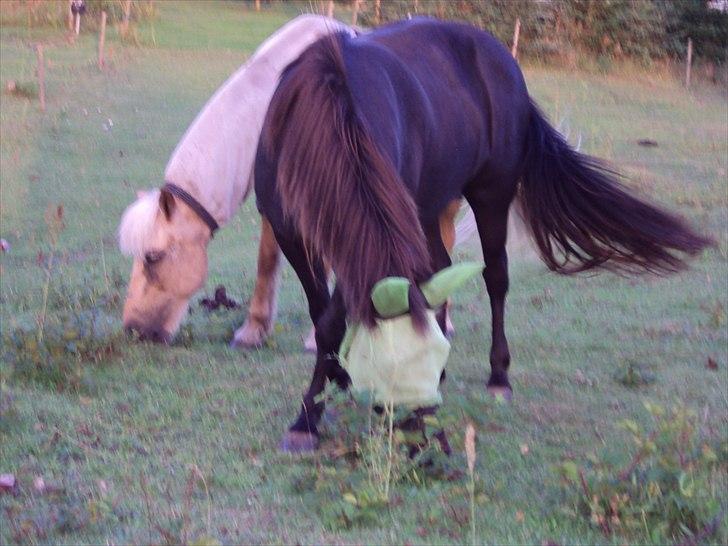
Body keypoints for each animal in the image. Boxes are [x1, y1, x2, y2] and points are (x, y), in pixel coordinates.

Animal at [253, 18, 708, 450]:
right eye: (388, 371)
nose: (429, 447)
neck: (323, 116)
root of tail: (503, 60)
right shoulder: (291, 235)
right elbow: (324, 319)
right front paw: (318, 405)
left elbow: (333, 317)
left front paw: (313, 410)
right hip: (427, 207)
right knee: (439, 270)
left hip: (492, 194)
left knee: (496, 279)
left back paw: (499, 378)